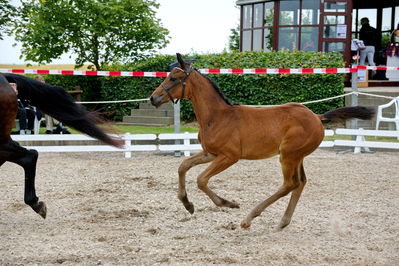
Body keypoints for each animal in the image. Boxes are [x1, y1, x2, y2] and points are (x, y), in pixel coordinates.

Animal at [149, 53, 376, 230]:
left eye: (174, 78)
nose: (153, 98)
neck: (218, 116)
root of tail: (317, 117)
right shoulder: (210, 153)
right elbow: (183, 166)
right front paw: (187, 204)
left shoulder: (229, 156)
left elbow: (201, 179)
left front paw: (228, 203)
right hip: (297, 156)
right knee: (300, 183)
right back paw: (283, 222)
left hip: (288, 155)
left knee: (290, 184)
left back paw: (249, 218)